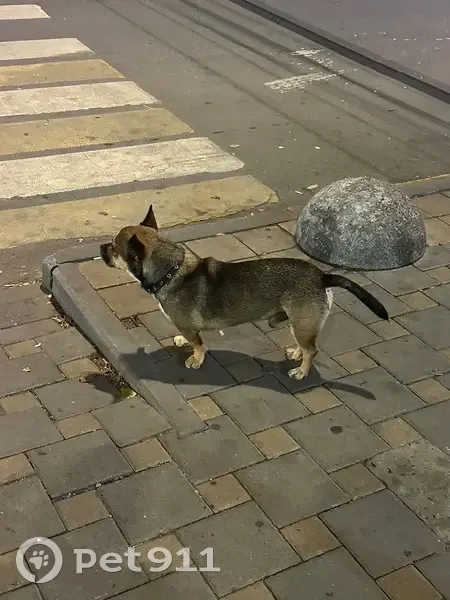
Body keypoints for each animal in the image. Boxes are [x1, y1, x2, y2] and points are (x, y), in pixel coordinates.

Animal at [100, 205, 388, 380]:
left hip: (303, 323)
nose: (101, 247)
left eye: (114, 248)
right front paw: (183, 342)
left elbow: (199, 344)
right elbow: (190, 338)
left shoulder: (190, 327)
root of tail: (322, 276)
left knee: (313, 350)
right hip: (299, 324)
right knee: (306, 346)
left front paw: (196, 359)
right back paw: (296, 355)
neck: (171, 270)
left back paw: (302, 372)